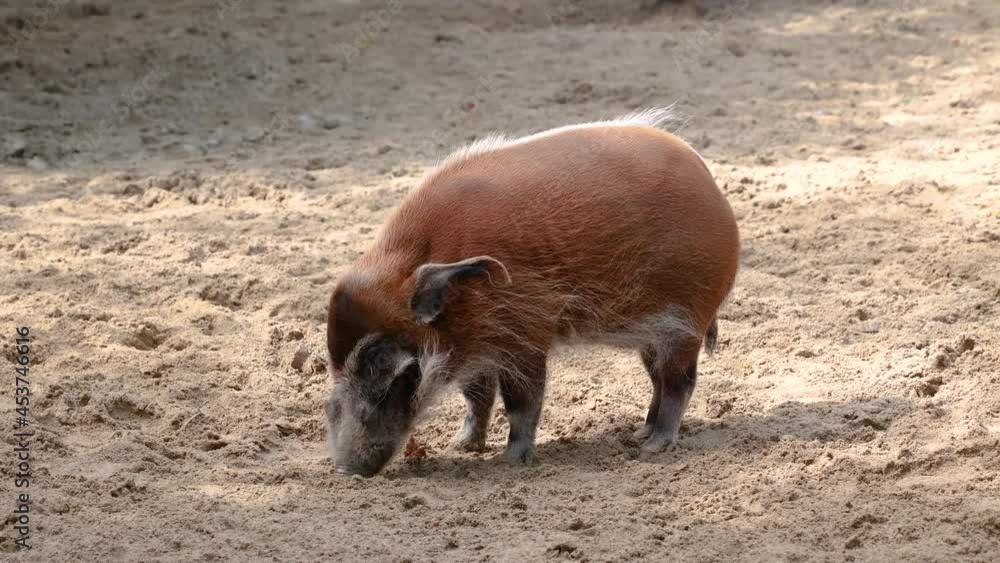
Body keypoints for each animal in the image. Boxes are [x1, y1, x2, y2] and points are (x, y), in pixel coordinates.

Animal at [324, 108, 740, 476]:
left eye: (383, 363)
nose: (345, 469)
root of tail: (709, 178)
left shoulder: (521, 338)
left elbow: (521, 402)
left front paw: (509, 460)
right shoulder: (473, 346)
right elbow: (477, 397)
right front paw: (462, 446)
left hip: (683, 322)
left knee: (679, 383)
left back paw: (654, 447)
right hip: (652, 334)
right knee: (658, 381)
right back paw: (641, 432)